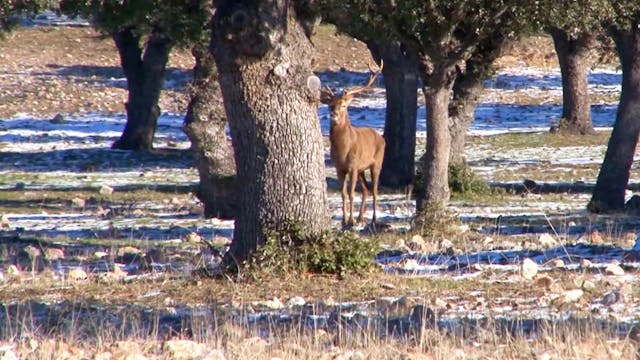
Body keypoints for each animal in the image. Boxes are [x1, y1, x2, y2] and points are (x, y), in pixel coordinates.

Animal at [320, 60, 384, 226]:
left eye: (343, 105)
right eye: (330, 105)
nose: (334, 114)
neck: (343, 149)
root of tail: (381, 137)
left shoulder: (353, 166)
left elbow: (351, 193)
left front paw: (350, 220)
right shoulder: (340, 168)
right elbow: (343, 194)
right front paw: (344, 220)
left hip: (377, 163)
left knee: (375, 190)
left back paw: (374, 218)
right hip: (362, 169)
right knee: (366, 189)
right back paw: (361, 217)